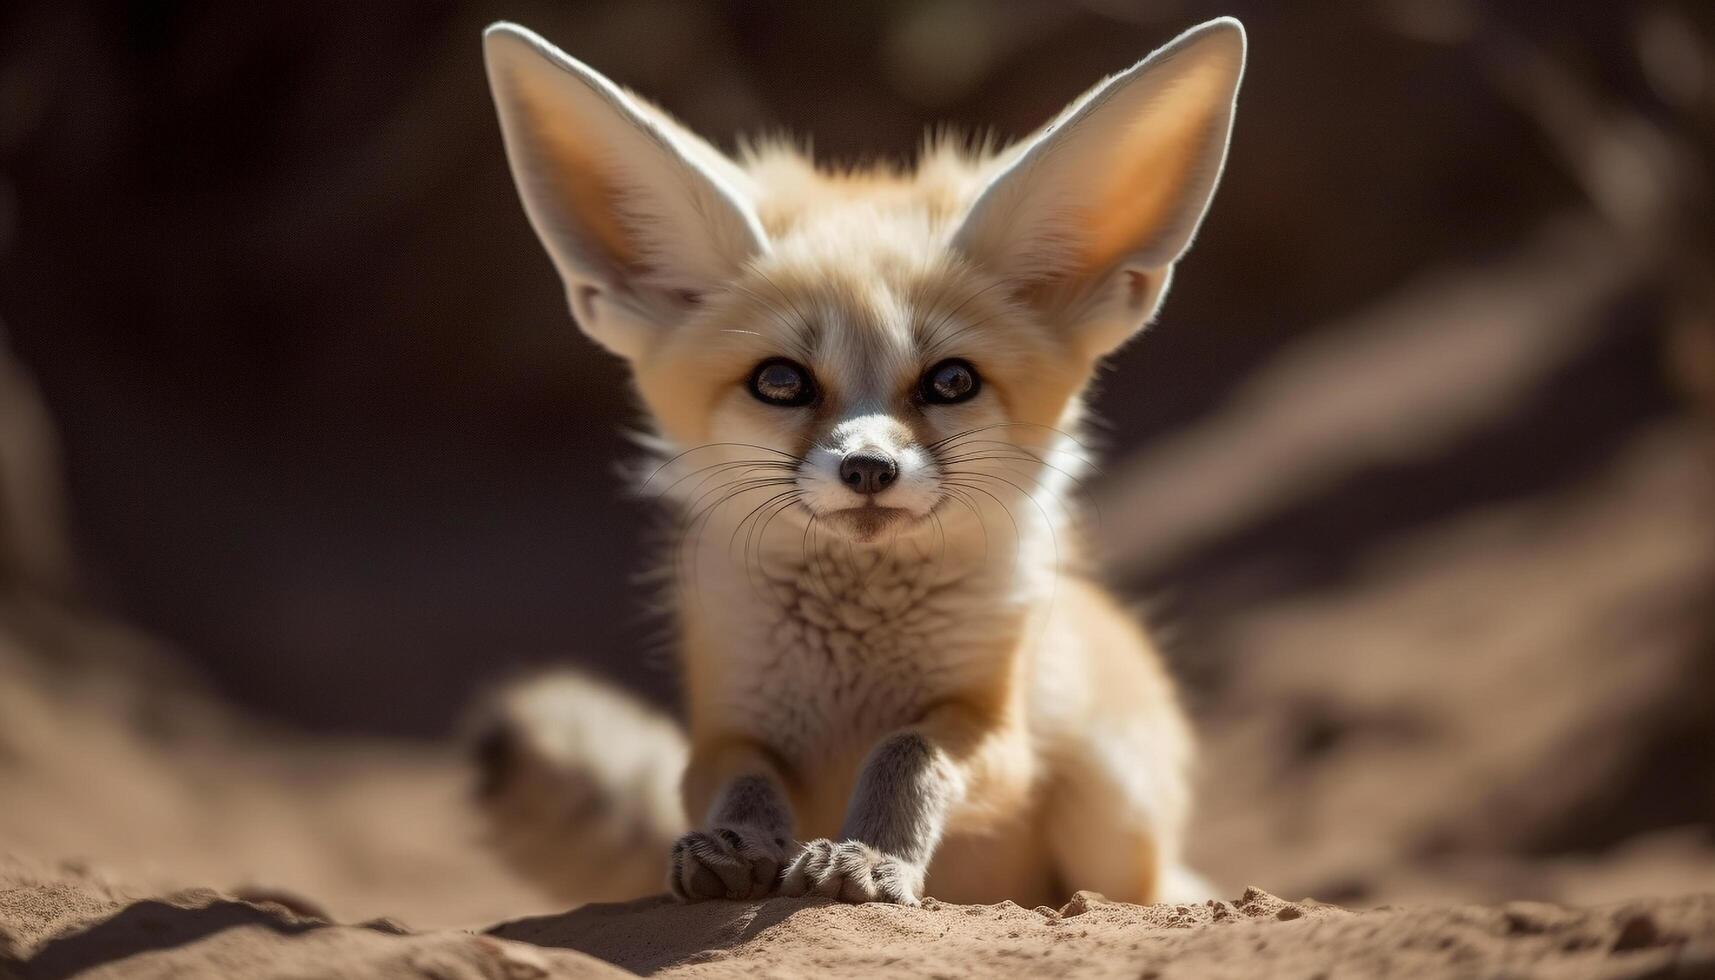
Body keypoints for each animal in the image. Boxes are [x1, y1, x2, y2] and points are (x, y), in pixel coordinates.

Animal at [480, 15, 1248, 906]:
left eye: (950, 382)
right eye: (781, 382)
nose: (868, 470)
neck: (854, 667)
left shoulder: (994, 730)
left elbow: (905, 754)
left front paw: (870, 855)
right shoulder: (721, 732)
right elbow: (741, 782)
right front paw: (736, 843)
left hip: (1107, 791)